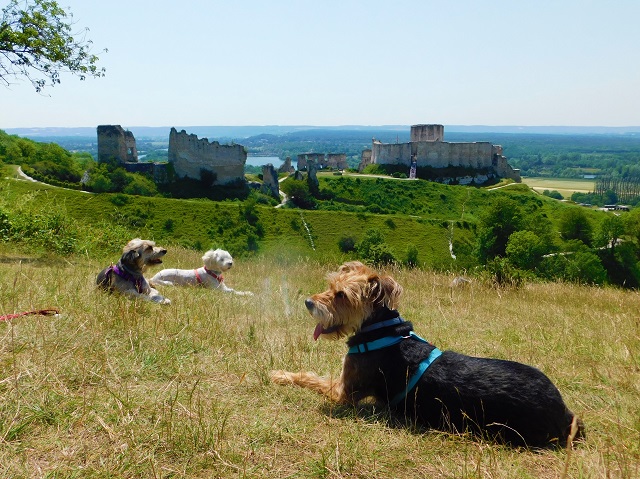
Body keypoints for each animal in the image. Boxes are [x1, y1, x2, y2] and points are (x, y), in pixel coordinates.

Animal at [272, 260, 584, 448]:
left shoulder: (344, 392)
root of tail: (564, 411)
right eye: (330, 286)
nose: (308, 302)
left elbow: (310, 378)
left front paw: (280, 374)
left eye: (341, 295)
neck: (380, 328)